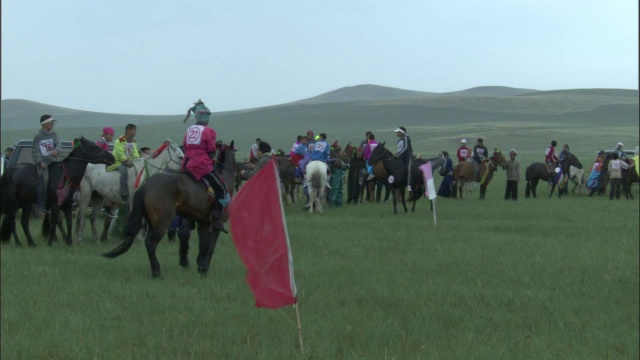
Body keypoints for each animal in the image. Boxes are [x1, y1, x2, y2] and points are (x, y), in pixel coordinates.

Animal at [103, 142, 238, 278]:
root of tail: (146, 185)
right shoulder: (215, 225)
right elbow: (210, 247)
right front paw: (204, 269)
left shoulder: (203, 223)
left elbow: (203, 246)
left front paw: (200, 267)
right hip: (162, 223)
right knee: (150, 243)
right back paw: (157, 272)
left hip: (152, 222)